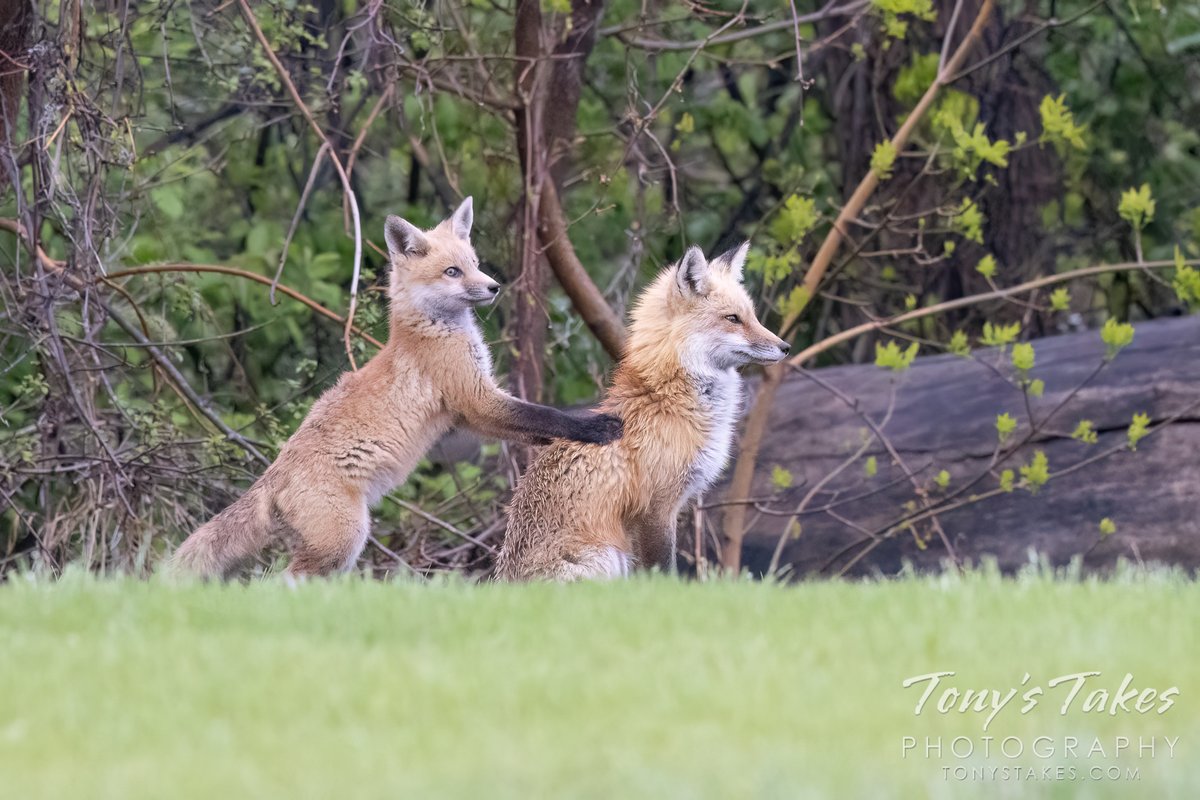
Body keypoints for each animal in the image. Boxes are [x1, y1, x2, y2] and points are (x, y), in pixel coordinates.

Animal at [174, 199, 624, 575]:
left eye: (474, 263)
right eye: (452, 272)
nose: (494, 286)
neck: (432, 331)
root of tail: (272, 474)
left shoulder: (467, 412)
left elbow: (534, 425)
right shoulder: (475, 398)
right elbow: (546, 414)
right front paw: (596, 427)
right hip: (344, 539)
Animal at [496, 241, 787, 578]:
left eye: (751, 316)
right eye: (733, 318)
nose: (785, 347)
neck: (667, 398)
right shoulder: (654, 510)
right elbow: (663, 574)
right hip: (607, 556)